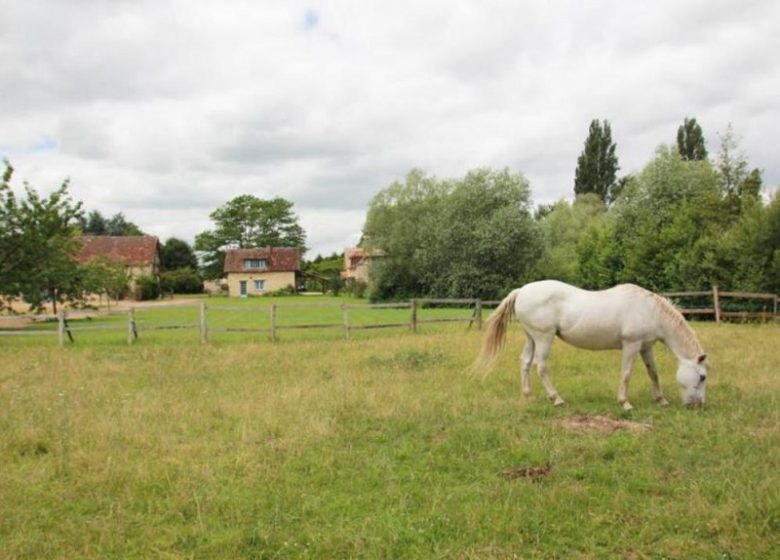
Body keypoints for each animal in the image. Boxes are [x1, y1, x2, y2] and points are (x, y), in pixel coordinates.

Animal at [472, 282, 708, 410]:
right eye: (702, 376)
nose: (697, 405)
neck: (649, 310)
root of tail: (522, 291)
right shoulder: (631, 345)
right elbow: (626, 374)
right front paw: (625, 402)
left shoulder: (645, 347)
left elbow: (653, 373)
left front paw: (661, 400)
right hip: (544, 337)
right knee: (541, 366)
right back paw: (557, 399)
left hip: (531, 338)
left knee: (525, 362)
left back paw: (528, 395)